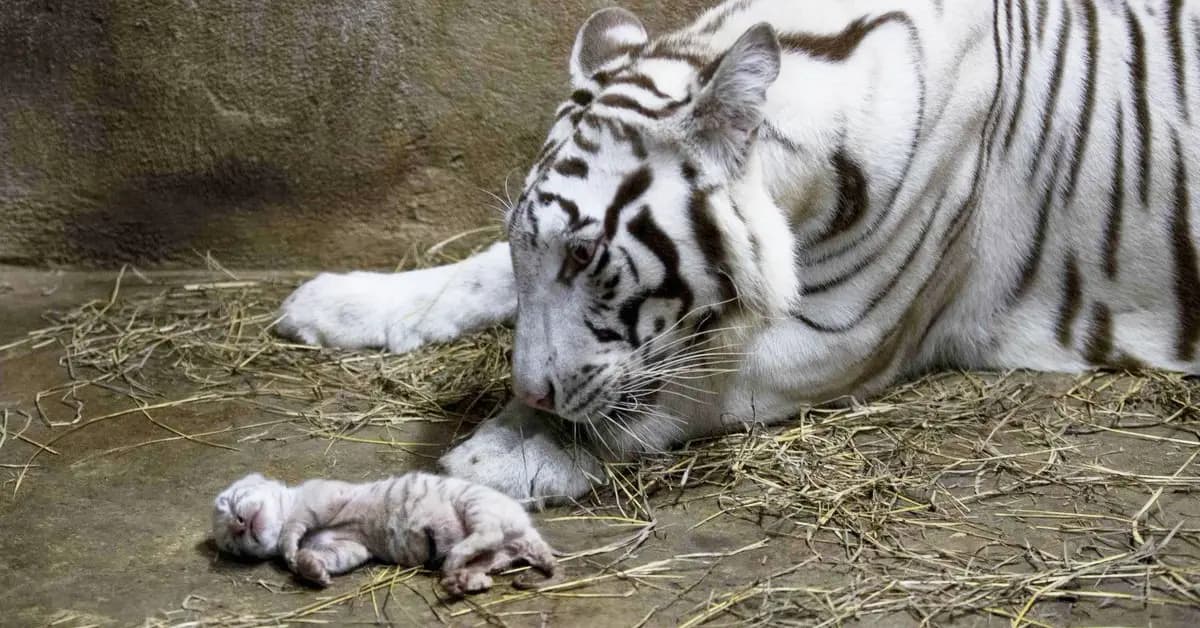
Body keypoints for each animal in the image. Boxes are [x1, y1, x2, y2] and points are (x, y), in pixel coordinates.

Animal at [276, 1, 1200, 506]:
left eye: (586, 257)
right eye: (536, 250)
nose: (529, 392)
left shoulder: (846, 334)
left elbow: (682, 387)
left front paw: (504, 452)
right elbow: (476, 274)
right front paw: (338, 302)